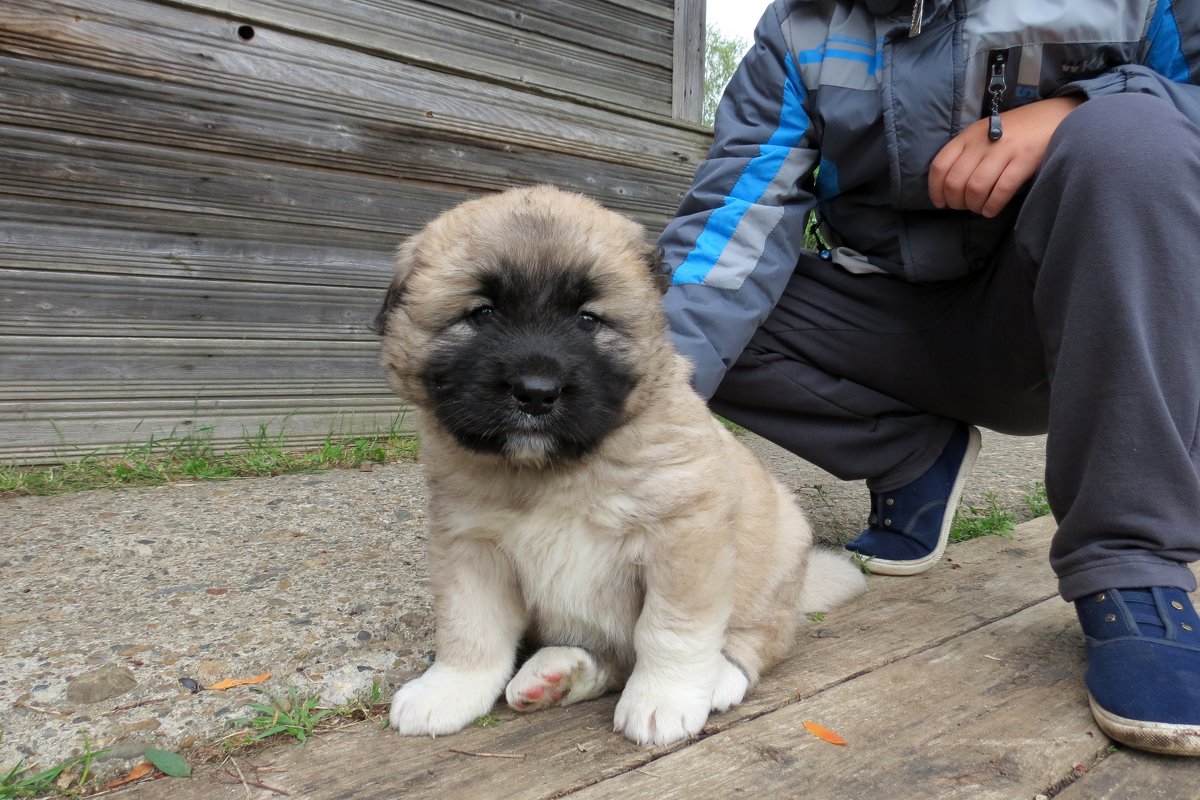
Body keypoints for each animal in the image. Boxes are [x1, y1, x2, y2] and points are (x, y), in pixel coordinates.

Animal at [374, 185, 864, 743]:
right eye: (482, 313)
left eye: (588, 318)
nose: (536, 393)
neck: (556, 472)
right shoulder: (470, 546)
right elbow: (469, 630)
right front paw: (449, 690)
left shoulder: (684, 537)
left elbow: (671, 630)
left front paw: (664, 699)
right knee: (608, 660)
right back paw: (555, 674)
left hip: (777, 552)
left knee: (756, 639)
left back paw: (716, 677)